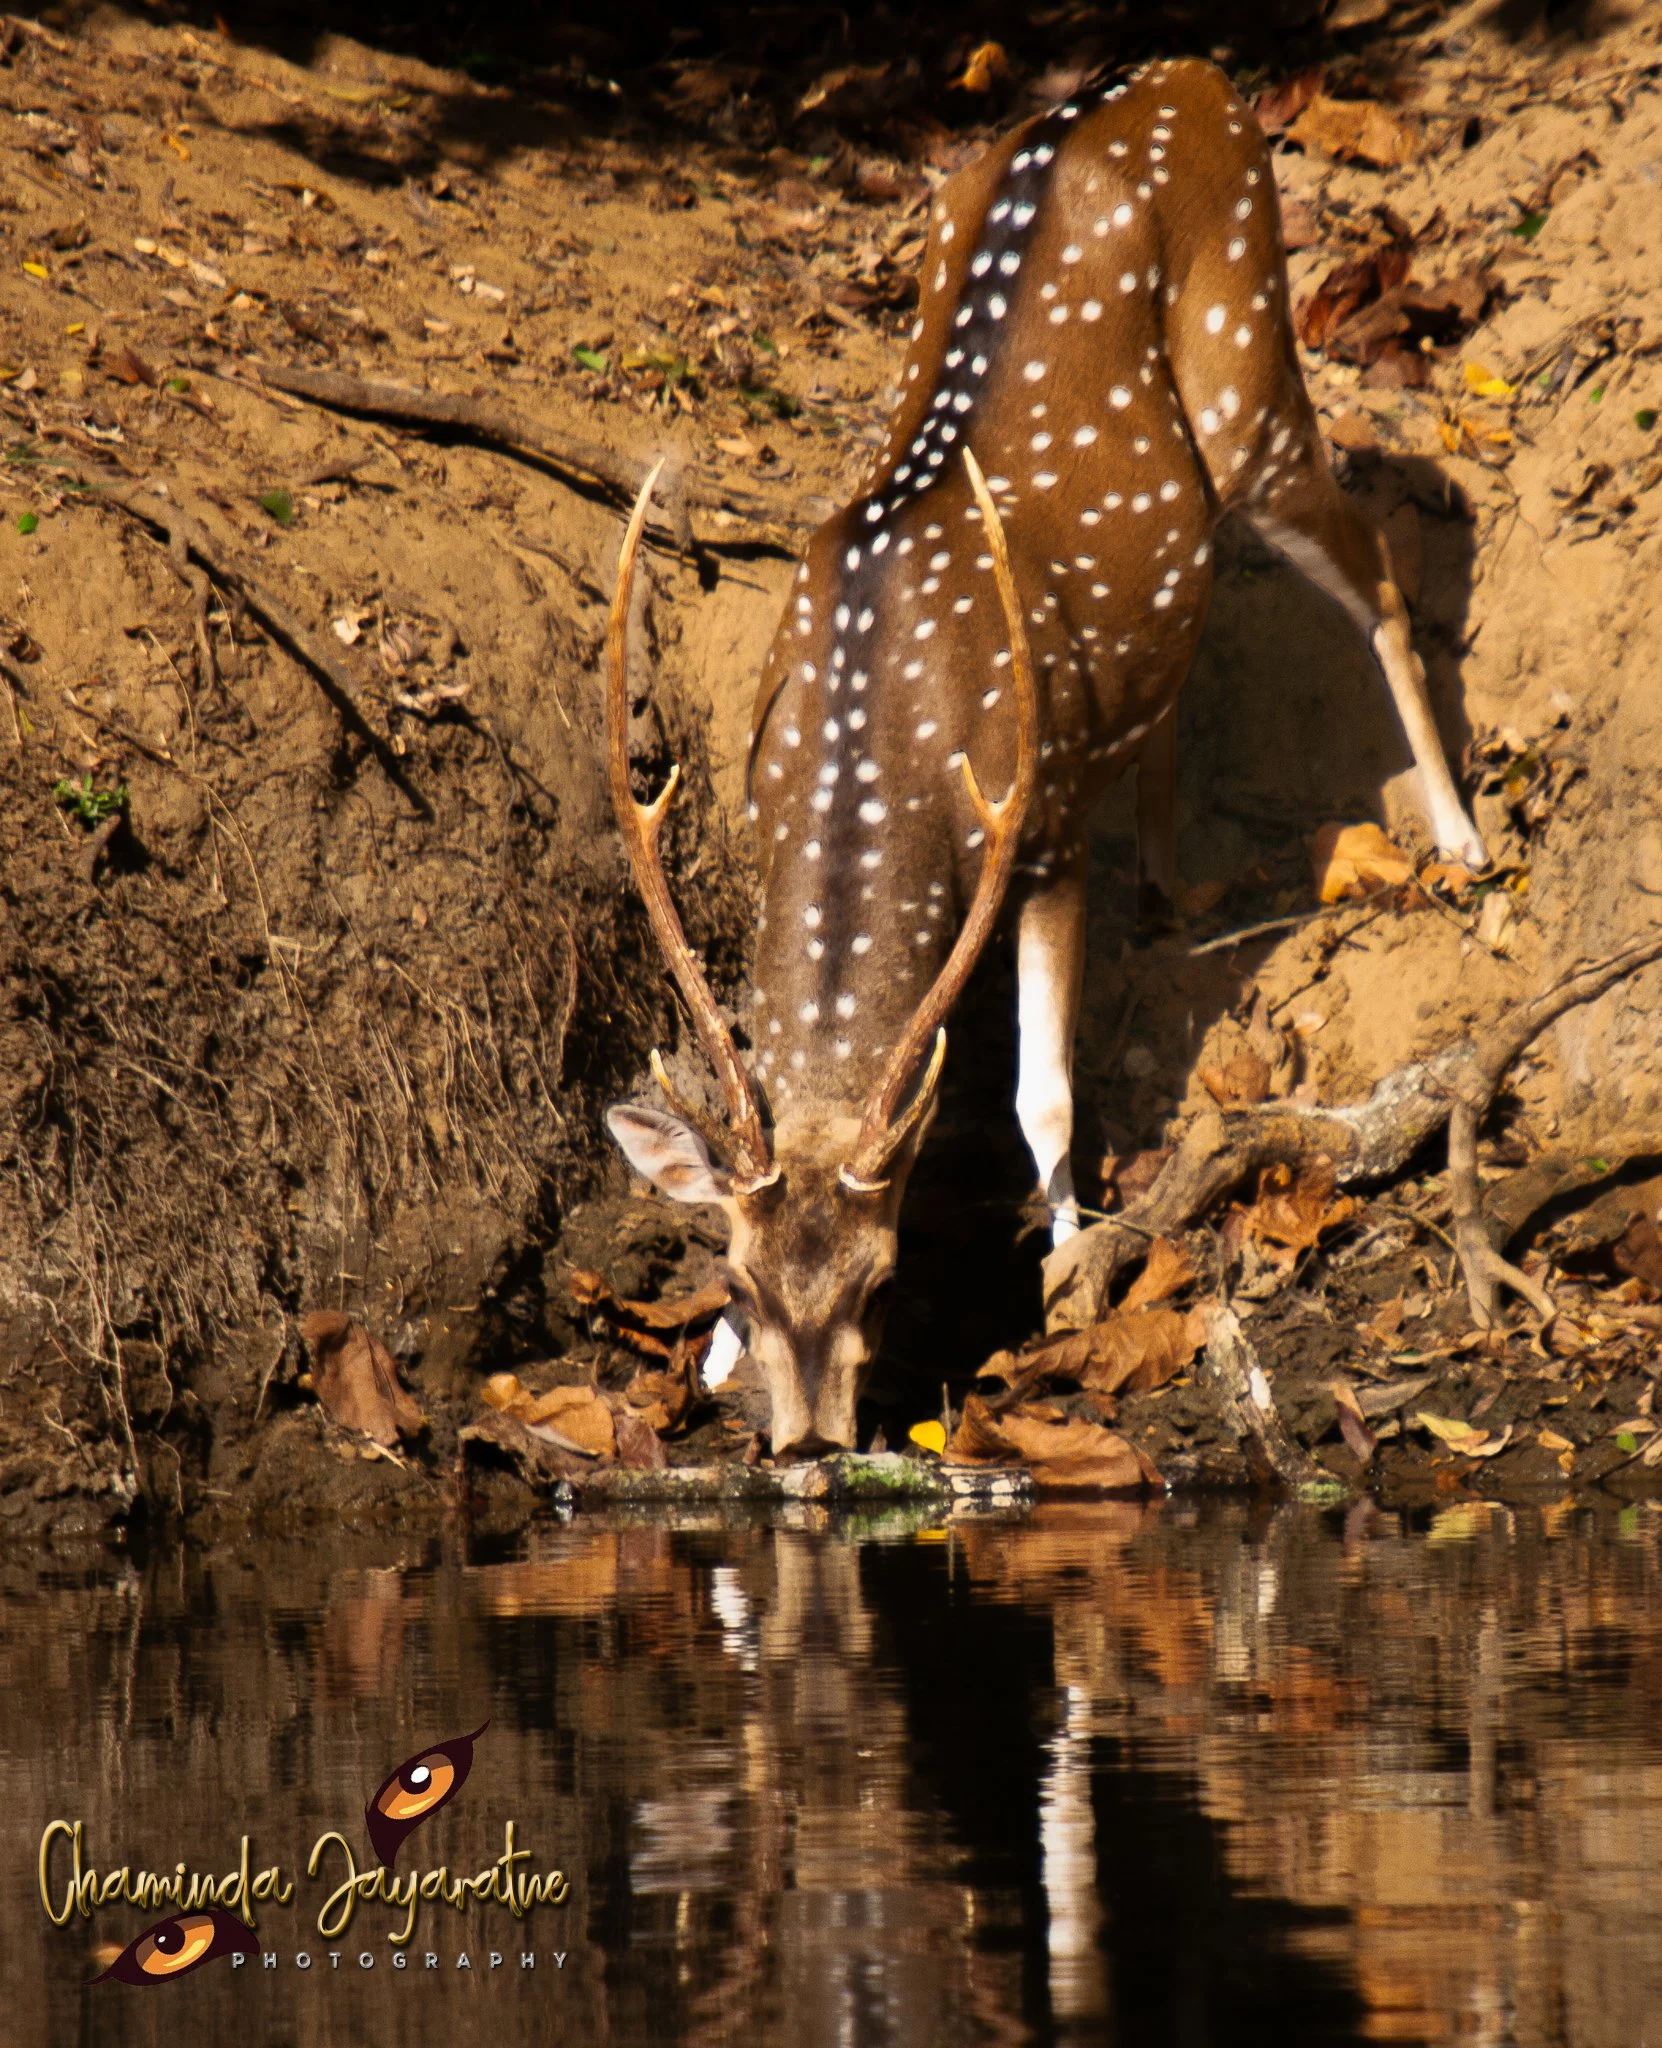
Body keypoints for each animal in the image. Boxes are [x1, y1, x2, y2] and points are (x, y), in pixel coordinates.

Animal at [603, 56, 1488, 1455]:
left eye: (885, 1276)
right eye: (732, 1272)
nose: (809, 1444)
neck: (879, 732)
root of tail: (1191, 76)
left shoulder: (1048, 822)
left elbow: (1043, 1095)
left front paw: (1068, 1263)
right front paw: (716, 1363)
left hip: (1251, 373)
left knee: (1378, 564)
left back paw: (1460, 836)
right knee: (1189, 630)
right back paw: (1174, 881)